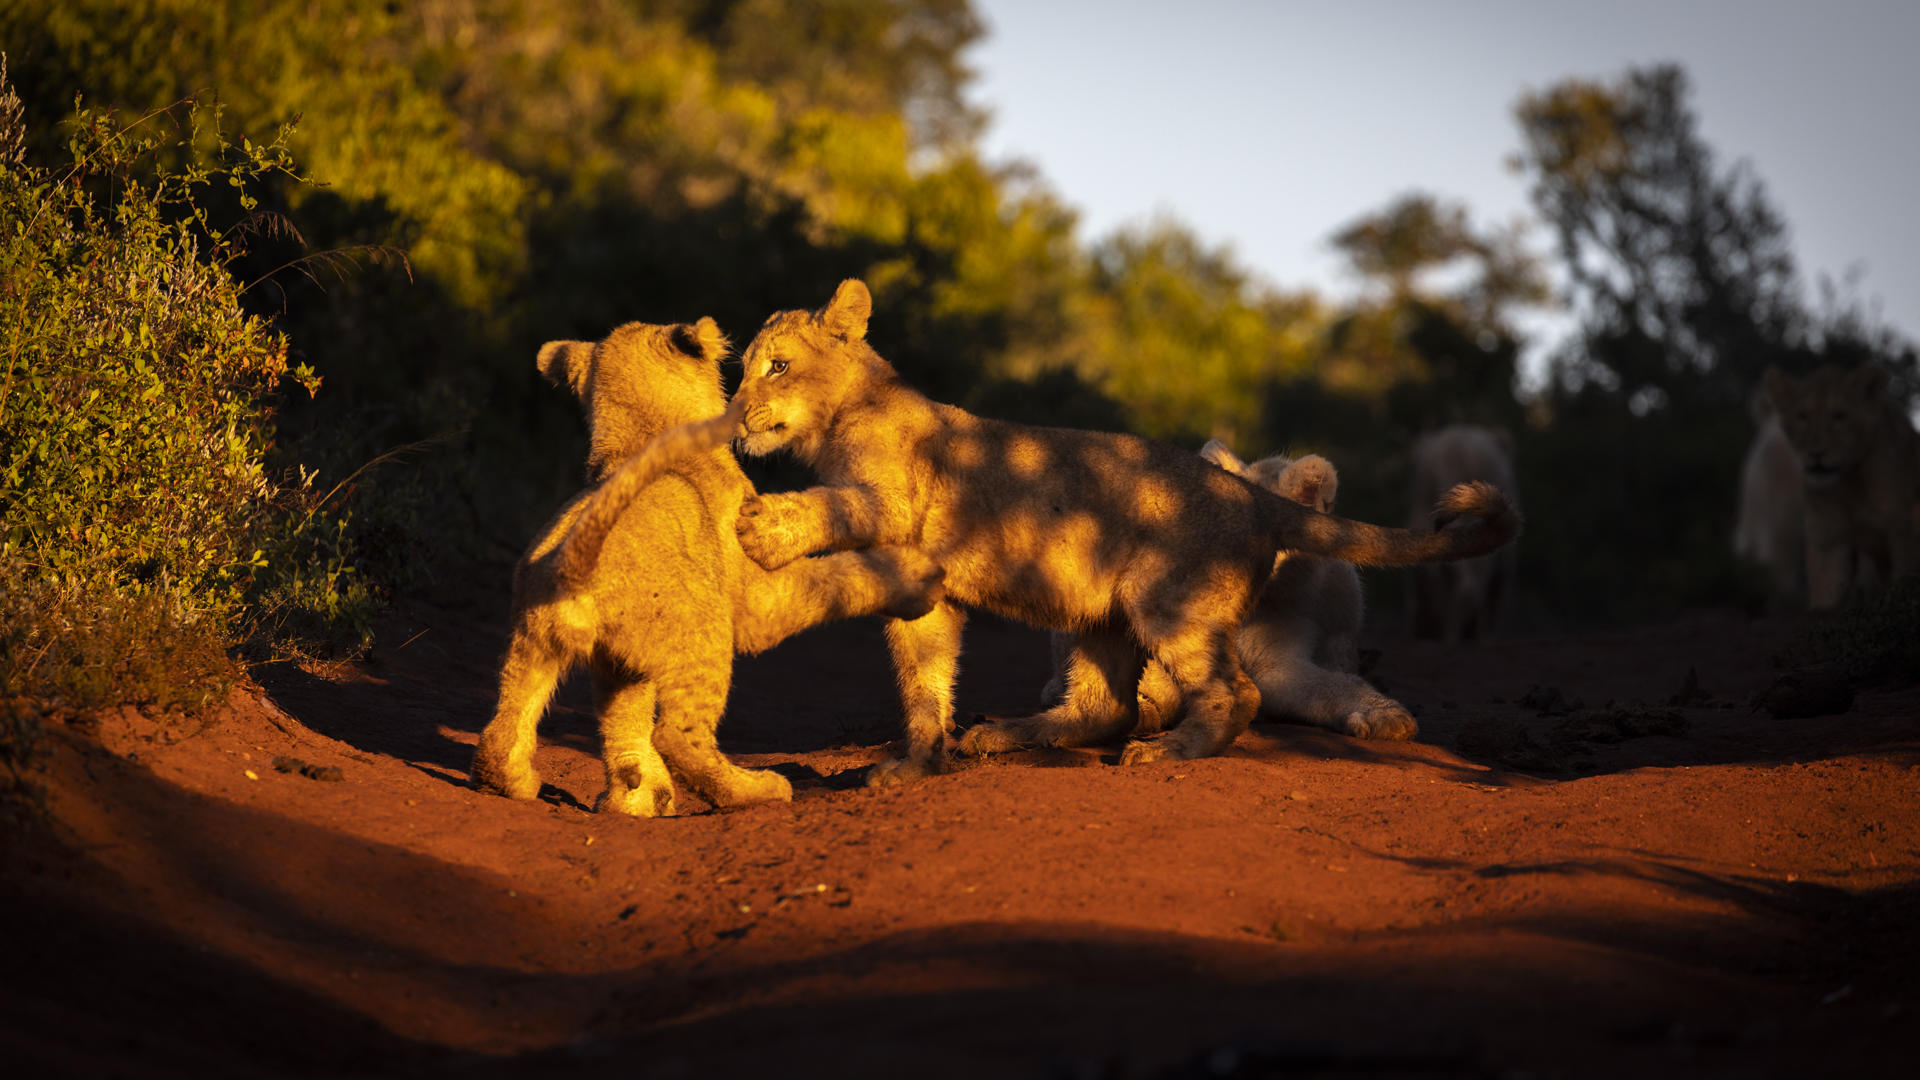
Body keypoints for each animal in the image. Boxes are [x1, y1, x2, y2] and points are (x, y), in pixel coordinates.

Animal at [469, 318, 945, 815]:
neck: (641, 434)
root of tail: (567, 566)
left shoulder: (620, 663)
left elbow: (625, 719)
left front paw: (637, 791)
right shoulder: (759, 601)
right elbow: (836, 575)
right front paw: (916, 576)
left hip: (537, 644)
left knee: (506, 727)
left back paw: (554, 787)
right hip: (701, 630)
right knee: (677, 736)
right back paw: (756, 789)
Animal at [1762, 362, 1920, 608]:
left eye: (1839, 416)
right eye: (1802, 416)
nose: (1815, 453)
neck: (1848, 485)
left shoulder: (1902, 530)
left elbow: (1903, 577)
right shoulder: (1828, 538)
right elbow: (1825, 591)